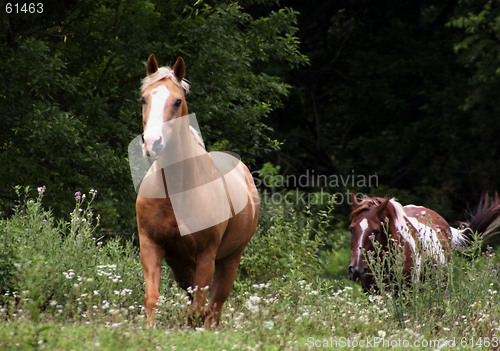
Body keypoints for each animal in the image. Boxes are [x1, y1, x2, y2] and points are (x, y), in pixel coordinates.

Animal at [137, 55, 262, 328]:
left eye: (177, 101)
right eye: (144, 99)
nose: (152, 143)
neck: (176, 192)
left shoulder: (207, 255)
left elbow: (198, 309)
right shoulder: (151, 245)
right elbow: (152, 300)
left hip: (229, 259)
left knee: (215, 307)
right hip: (181, 264)